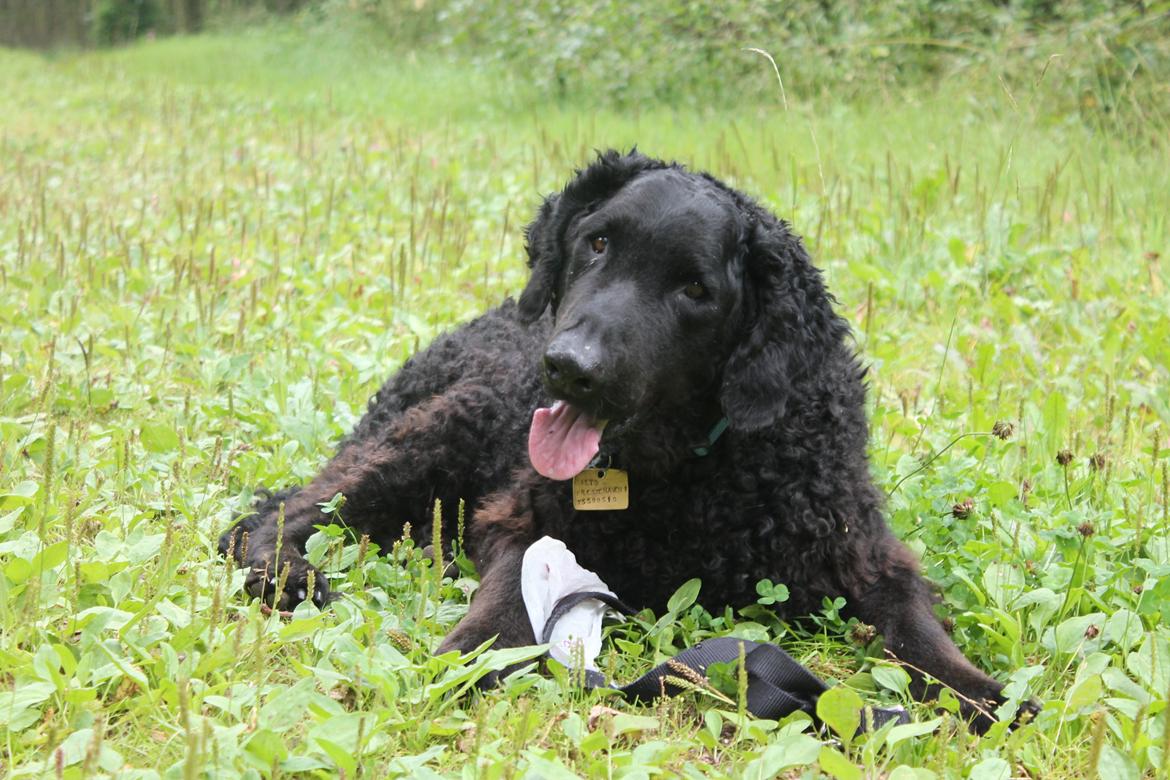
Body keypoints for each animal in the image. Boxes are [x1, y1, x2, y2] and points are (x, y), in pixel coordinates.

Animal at [223, 150, 1029, 734]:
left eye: (695, 290)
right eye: (597, 243)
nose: (569, 368)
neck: (693, 471)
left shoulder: (865, 555)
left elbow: (917, 628)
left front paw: (978, 693)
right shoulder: (520, 519)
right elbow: (503, 605)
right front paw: (462, 660)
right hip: (429, 436)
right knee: (278, 515)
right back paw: (287, 574)